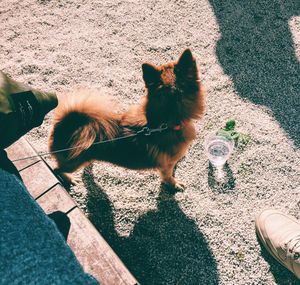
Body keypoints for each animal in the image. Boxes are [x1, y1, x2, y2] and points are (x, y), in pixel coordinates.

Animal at [48, 48, 206, 189]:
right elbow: (168, 176)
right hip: (72, 163)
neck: (165, 123)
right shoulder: (166, 166)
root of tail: (67, 122)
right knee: (57, 169)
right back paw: (69, 179)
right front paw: (174, 184)